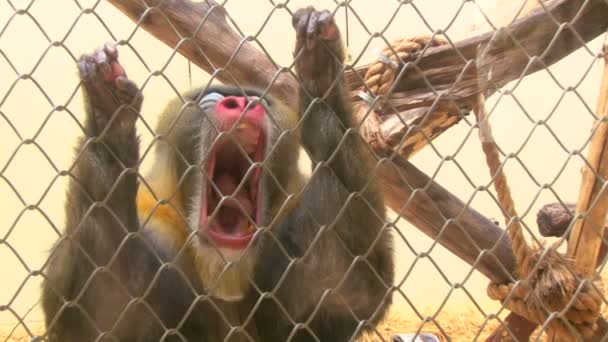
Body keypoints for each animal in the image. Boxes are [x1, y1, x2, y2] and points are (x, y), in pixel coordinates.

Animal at [41, 6, 394, 340]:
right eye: (211, 98)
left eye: (257, 100)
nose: (240, 103)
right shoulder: (154, 225)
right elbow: (103, 308)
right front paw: (108, 112)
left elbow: (349, 287)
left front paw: (320, 71)